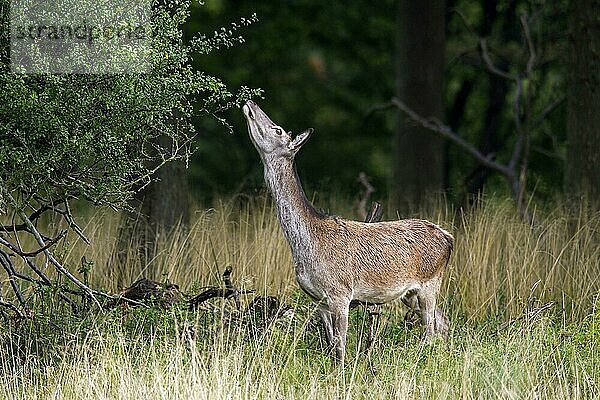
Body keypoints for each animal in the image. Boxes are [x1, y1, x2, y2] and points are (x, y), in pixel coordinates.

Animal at [241, 101, 452, 366]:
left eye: (278, 130)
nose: (250, 103)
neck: (307, 244)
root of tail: (448, 238)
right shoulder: (317, 299)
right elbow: (331, 346)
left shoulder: (340, 293)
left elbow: (341, 347)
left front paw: (341, 373)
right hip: (411, 293)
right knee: (443, 323)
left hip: (431, 281)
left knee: (431, 331)